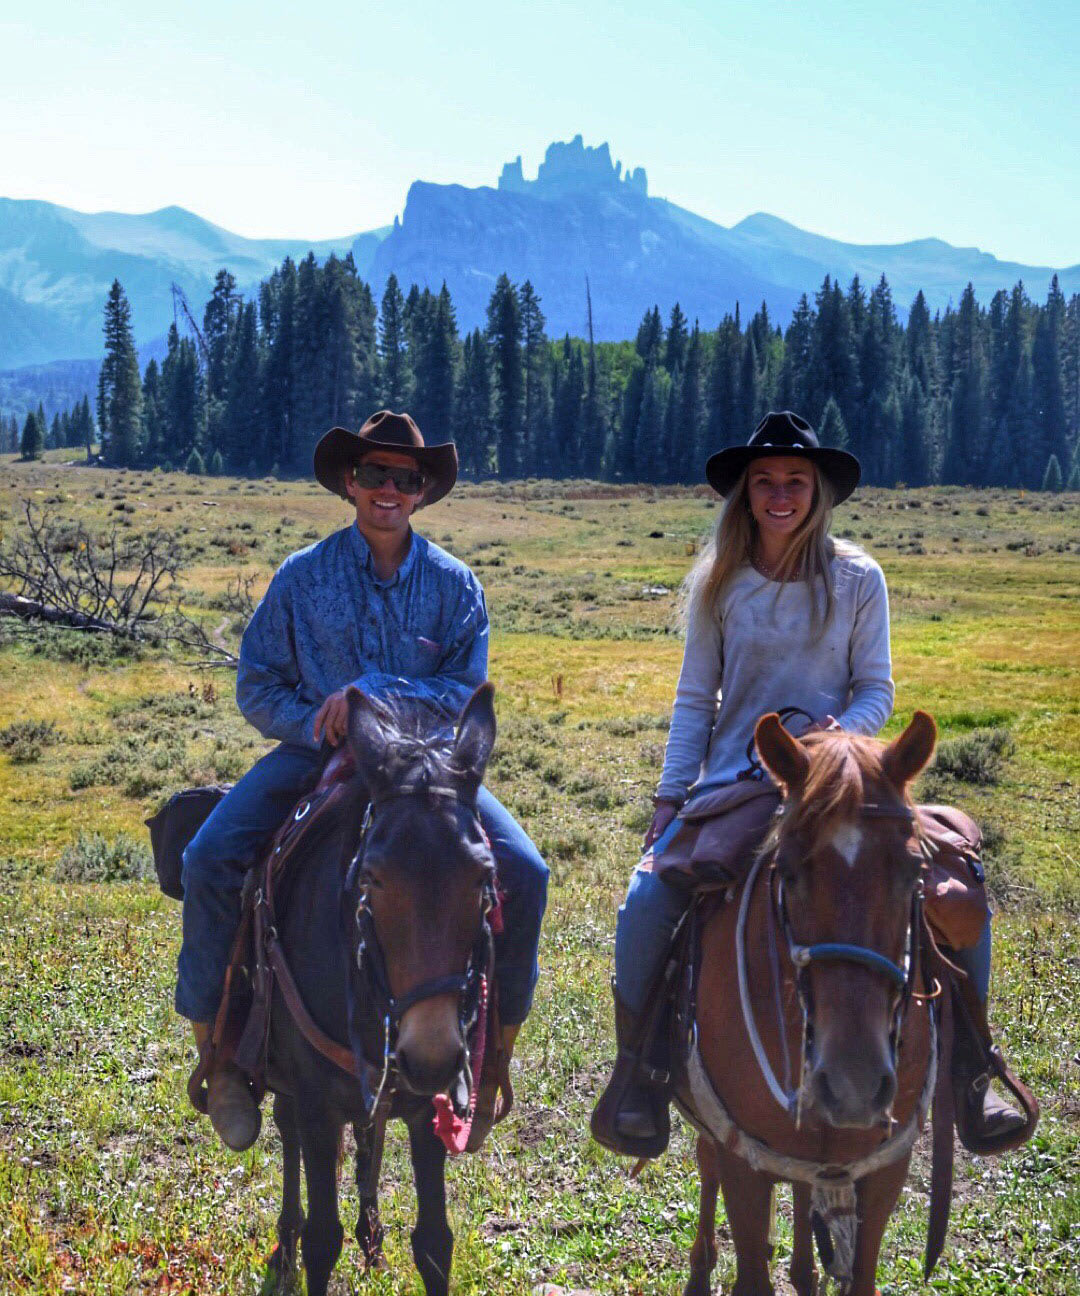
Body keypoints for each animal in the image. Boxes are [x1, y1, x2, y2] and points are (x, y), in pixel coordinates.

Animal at [679, 710, 938, 1296]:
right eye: (789, 870)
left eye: (914, 871)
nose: (853, 1085)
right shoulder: (743, 1158)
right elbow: (751, 1269)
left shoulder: (886, 1167)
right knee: (706, 1164)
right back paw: (702, 1270)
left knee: (801, 1187)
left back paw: (804, 1271)